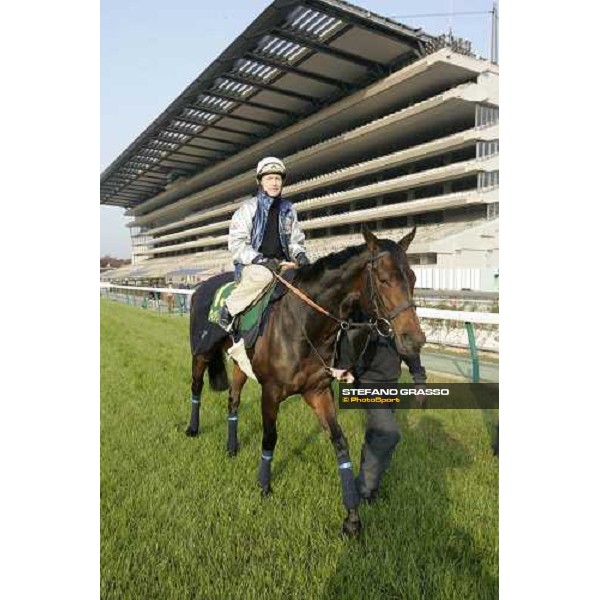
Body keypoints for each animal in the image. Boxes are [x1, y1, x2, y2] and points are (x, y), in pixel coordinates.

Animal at [185, 227, 424, 536]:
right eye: (384, 280)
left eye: (413, 278)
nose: (415, 339)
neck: (305, 324)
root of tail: (201, 286)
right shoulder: (271, 392)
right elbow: (270, 438)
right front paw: (264, 485)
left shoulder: (318, 391)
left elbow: (340, 443)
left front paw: (352, 517)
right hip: (201, 352)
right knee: (196, 387)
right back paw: (192, 429)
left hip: (239, 363)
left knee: (233, 400)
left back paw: (232, 447)